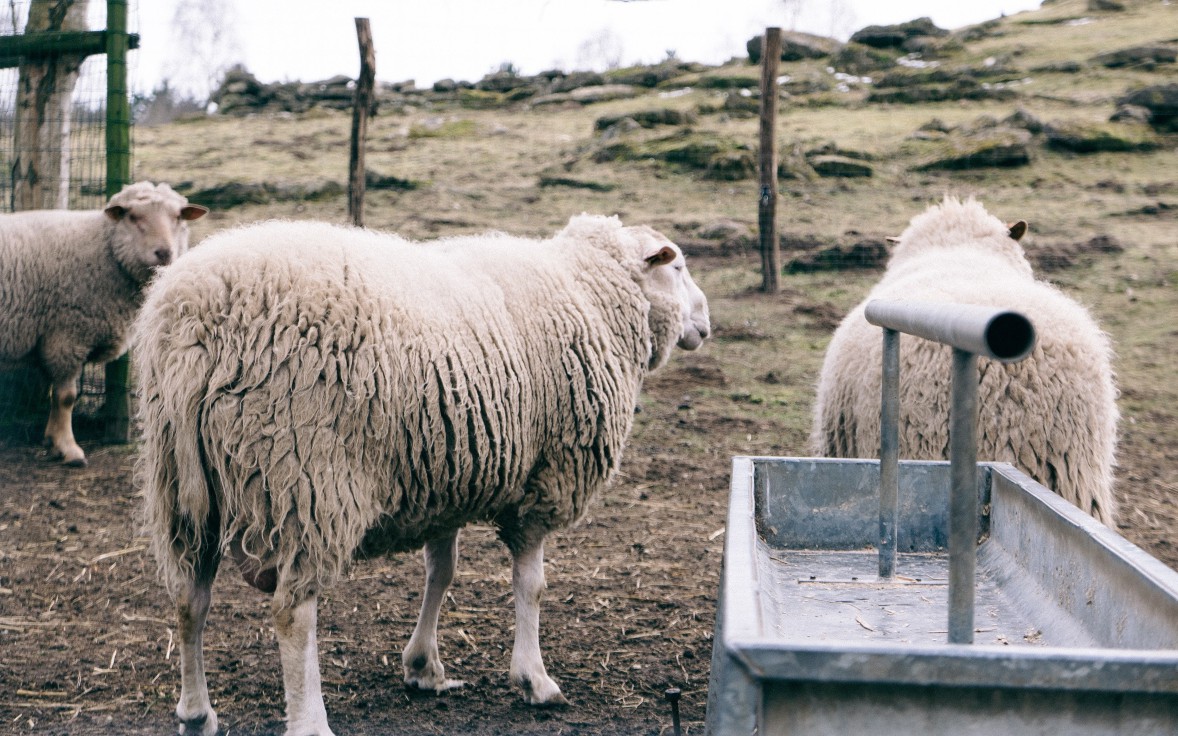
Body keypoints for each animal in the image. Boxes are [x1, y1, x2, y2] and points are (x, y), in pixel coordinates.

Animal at [0, 181, 207, 466]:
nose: (164, 253)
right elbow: (66, 397)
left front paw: (52, 442)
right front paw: (69, 449)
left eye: (178, 217)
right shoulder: (67, 336)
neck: (104, 248)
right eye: (133, 216)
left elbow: (56, 396)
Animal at [132, 213, 710, 736]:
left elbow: (441, 571)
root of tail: (194, 327)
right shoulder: (543, 481)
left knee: (189, 596)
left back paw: (196, 714)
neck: (590, 292)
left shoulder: (445, 472)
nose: (706, 324)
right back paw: (309, 720)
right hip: (304, 477)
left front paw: (423, 668)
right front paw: (534, 680)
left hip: (181, 482)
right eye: (677, 266)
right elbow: (531, 585)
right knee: (292, 612)